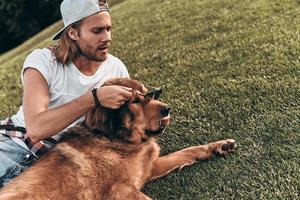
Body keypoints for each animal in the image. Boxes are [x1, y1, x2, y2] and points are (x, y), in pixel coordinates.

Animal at [0, 78, 236, 200]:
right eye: (135, 101)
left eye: (150, 94)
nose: (167, 108)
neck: (117, 142)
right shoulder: (121, 190)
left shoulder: (149, 168)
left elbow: (187, 151)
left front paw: (218, 146)